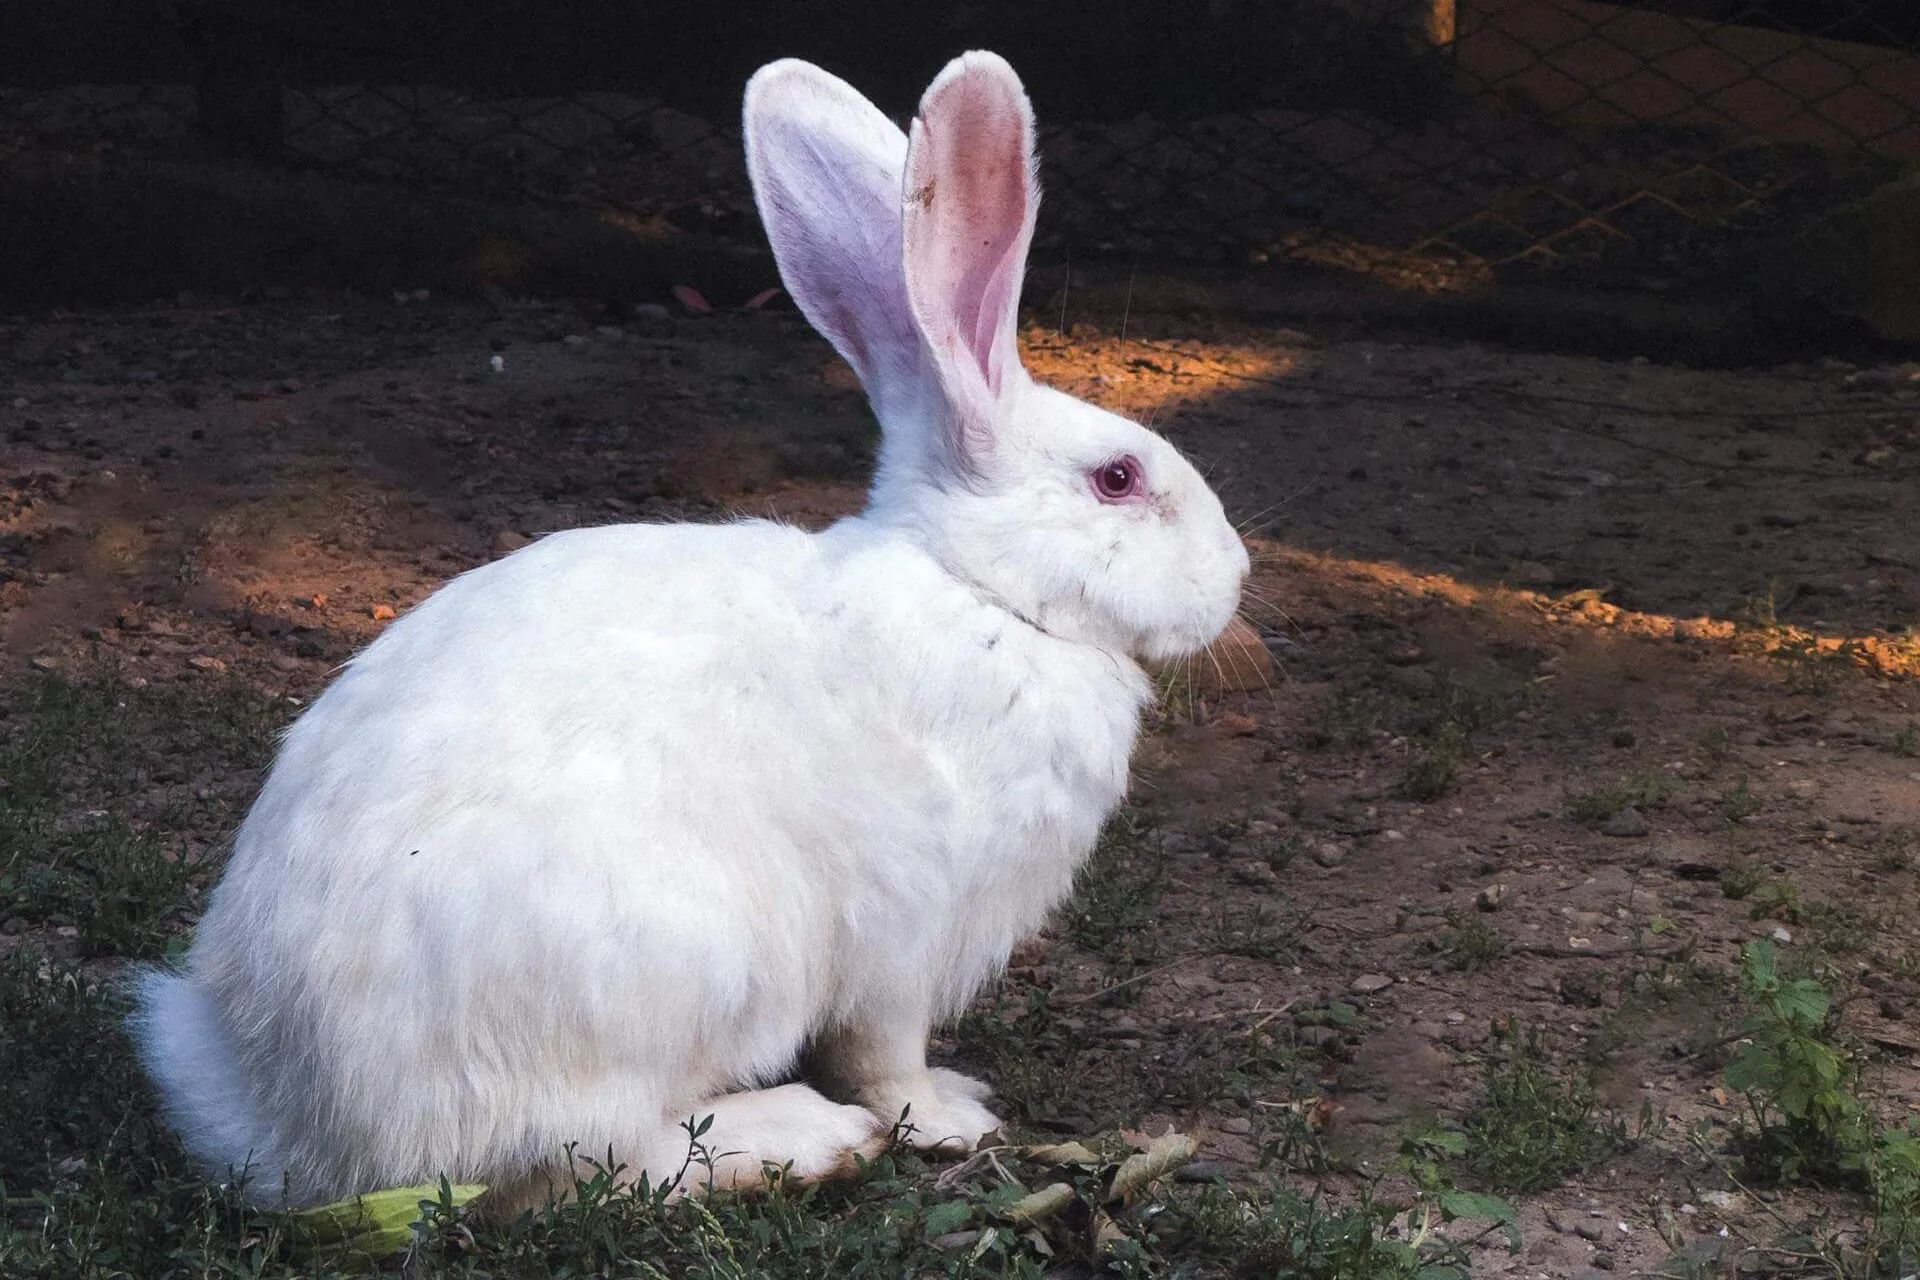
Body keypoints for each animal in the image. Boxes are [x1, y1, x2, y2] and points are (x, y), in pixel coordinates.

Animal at [127, 52, 1251, 1212]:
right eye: (1118, 478)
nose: (1235, 576)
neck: (977, 590)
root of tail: (293, 1120)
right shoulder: (906, 936)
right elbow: (886, 1055)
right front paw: (949, 1115)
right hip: (671, 973)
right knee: (595, 1160)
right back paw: (802, 1137)